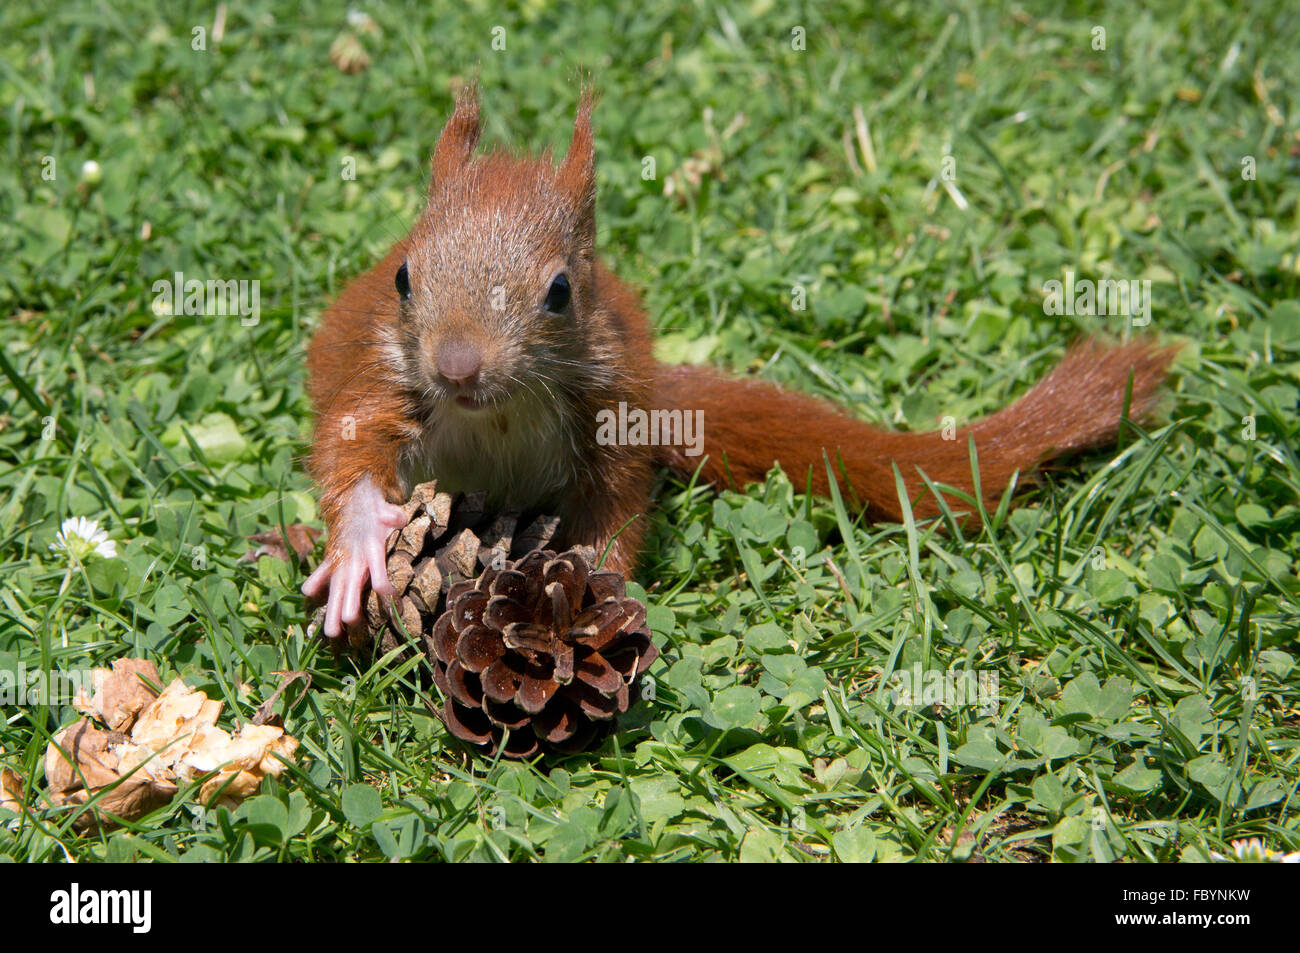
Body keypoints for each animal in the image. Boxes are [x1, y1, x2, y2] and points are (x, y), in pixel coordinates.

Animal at [301, 89, 1180, 634]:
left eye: (559, 291)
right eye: (403, 276)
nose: (456, 367)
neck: (502, 410)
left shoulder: (614, 407)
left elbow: (620, 509)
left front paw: (594, 594)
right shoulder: (384, 377)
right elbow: (350, 446)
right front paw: (358, 548)